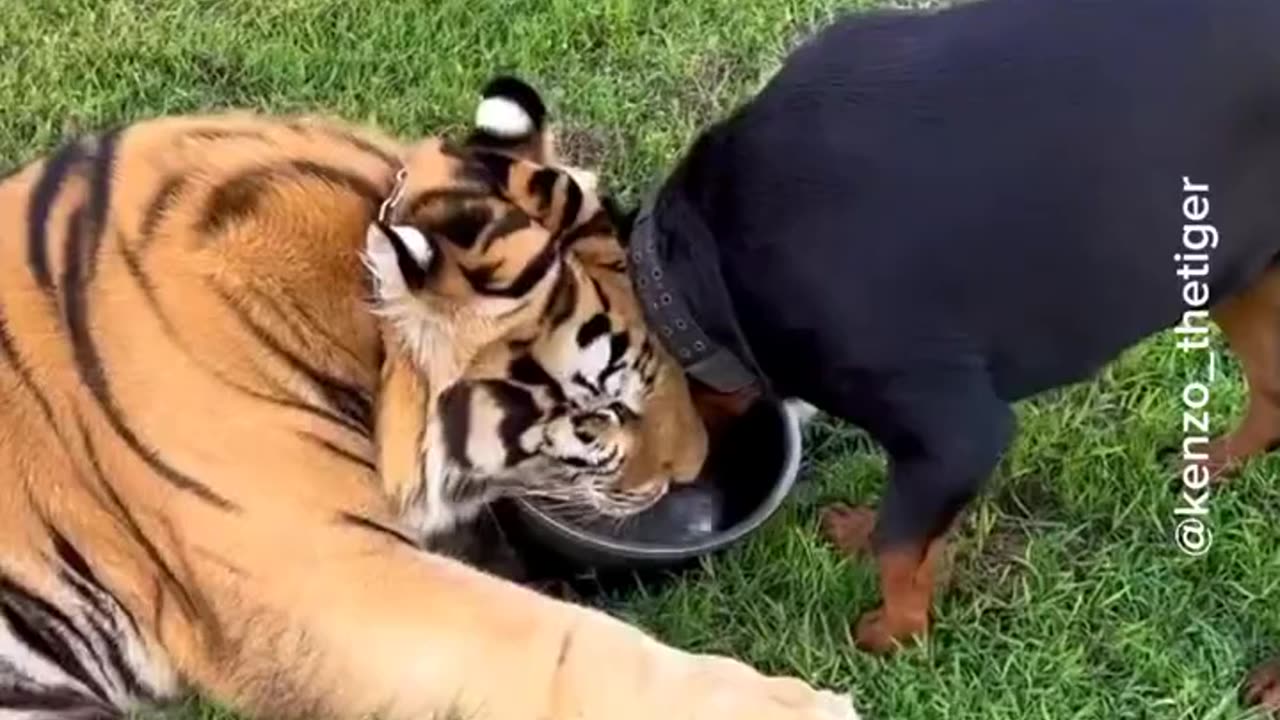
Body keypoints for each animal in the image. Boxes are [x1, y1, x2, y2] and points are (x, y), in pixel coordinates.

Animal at [614, 0, 1274, 661]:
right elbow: (903, 525)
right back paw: (1211, 462)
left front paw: (894, 633)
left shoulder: (960, 433)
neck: (697, 272)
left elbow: (899, 546)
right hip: (1235, 273)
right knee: (1270, 392)